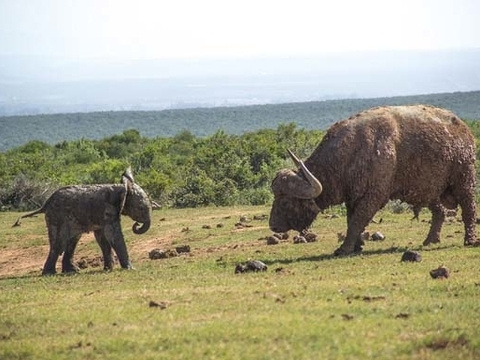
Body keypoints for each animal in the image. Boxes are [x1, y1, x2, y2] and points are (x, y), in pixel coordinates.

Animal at [13, 167, 152, 274]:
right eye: (141, 208)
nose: (137, 224)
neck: (122, 188)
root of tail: (45, 204)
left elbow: (102, 238)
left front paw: (108, 269)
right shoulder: (108, 211)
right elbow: (112, 235)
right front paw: (130, 268)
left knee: (72, 242)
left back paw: (72, 271)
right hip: (57, 217)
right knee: (59, 243)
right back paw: (50, 273)